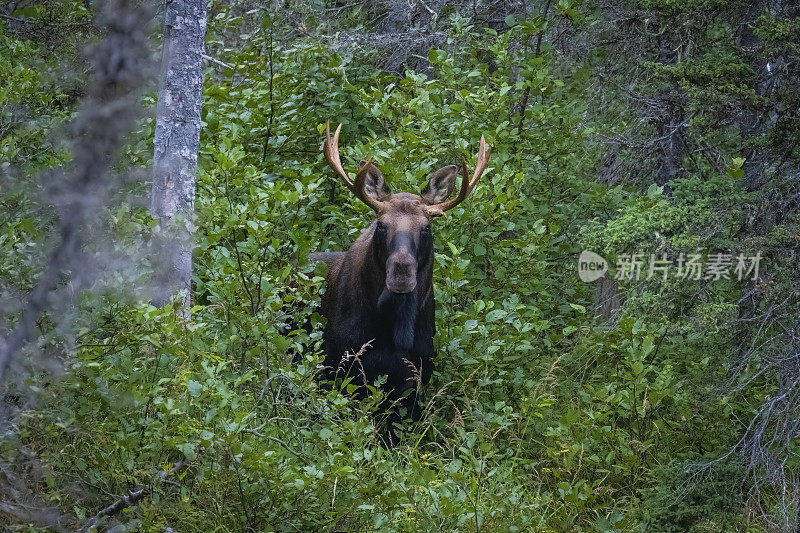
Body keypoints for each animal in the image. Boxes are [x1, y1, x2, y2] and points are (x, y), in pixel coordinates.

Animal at [310, 122, 488, 442]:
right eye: (381, 225)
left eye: (427, 227)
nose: (402, 272)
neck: (393, 327)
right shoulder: (339, 369)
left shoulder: (415, 379)